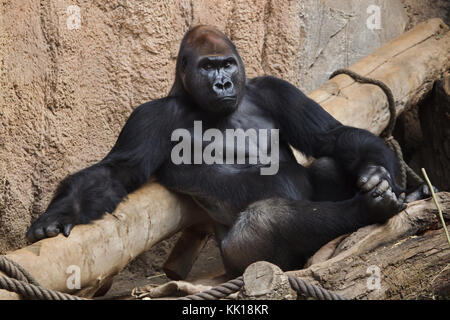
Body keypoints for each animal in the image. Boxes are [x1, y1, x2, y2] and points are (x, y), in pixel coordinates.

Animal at [26, 26, 410, 278]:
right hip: (239, 261)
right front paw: (58, 215)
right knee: (265, 220)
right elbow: (116, 172)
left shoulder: (274, 89)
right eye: (207, 67)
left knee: (328, 162)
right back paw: (365, 208)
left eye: (227, 64)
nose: (223, 83)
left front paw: (378, 172)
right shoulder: (149, 117)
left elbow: (329, 136)